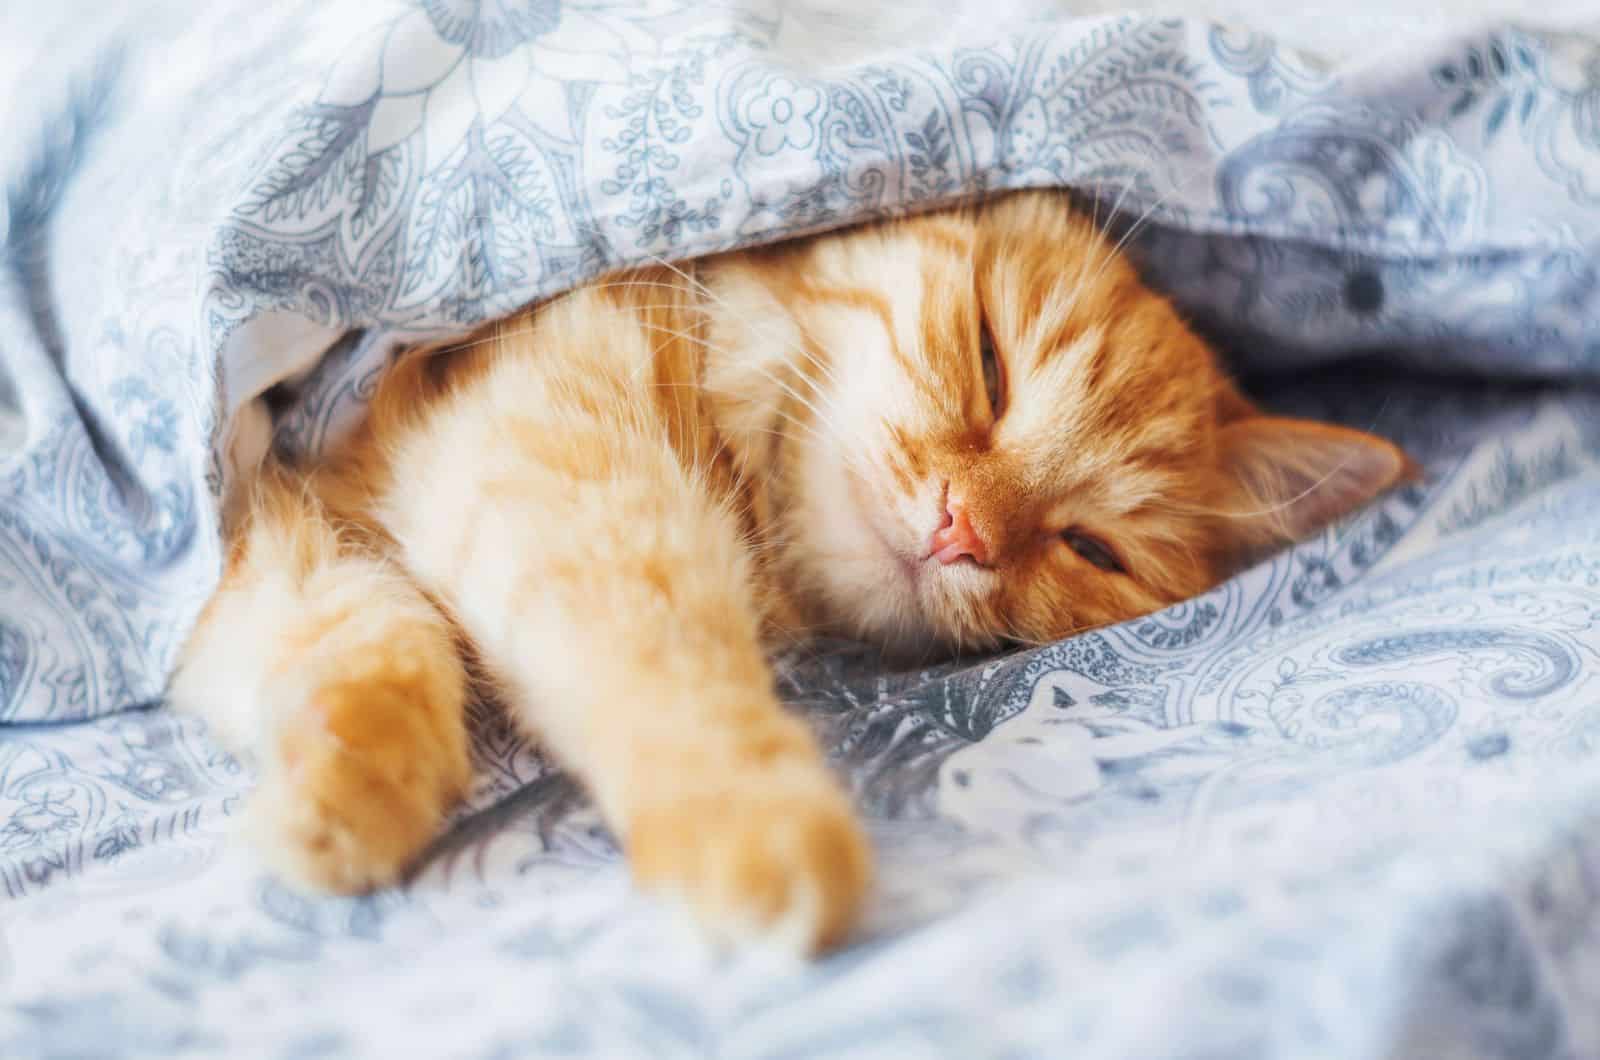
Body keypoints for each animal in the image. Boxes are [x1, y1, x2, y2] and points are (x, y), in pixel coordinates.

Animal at [165, 191, 1414, 954]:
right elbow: (642, 647)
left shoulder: (287, 539)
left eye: (1090, 546)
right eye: (989, 361)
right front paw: (751, 823)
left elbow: (361, 649)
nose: (964, 530)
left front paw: (336, 800)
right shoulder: (530, 448)